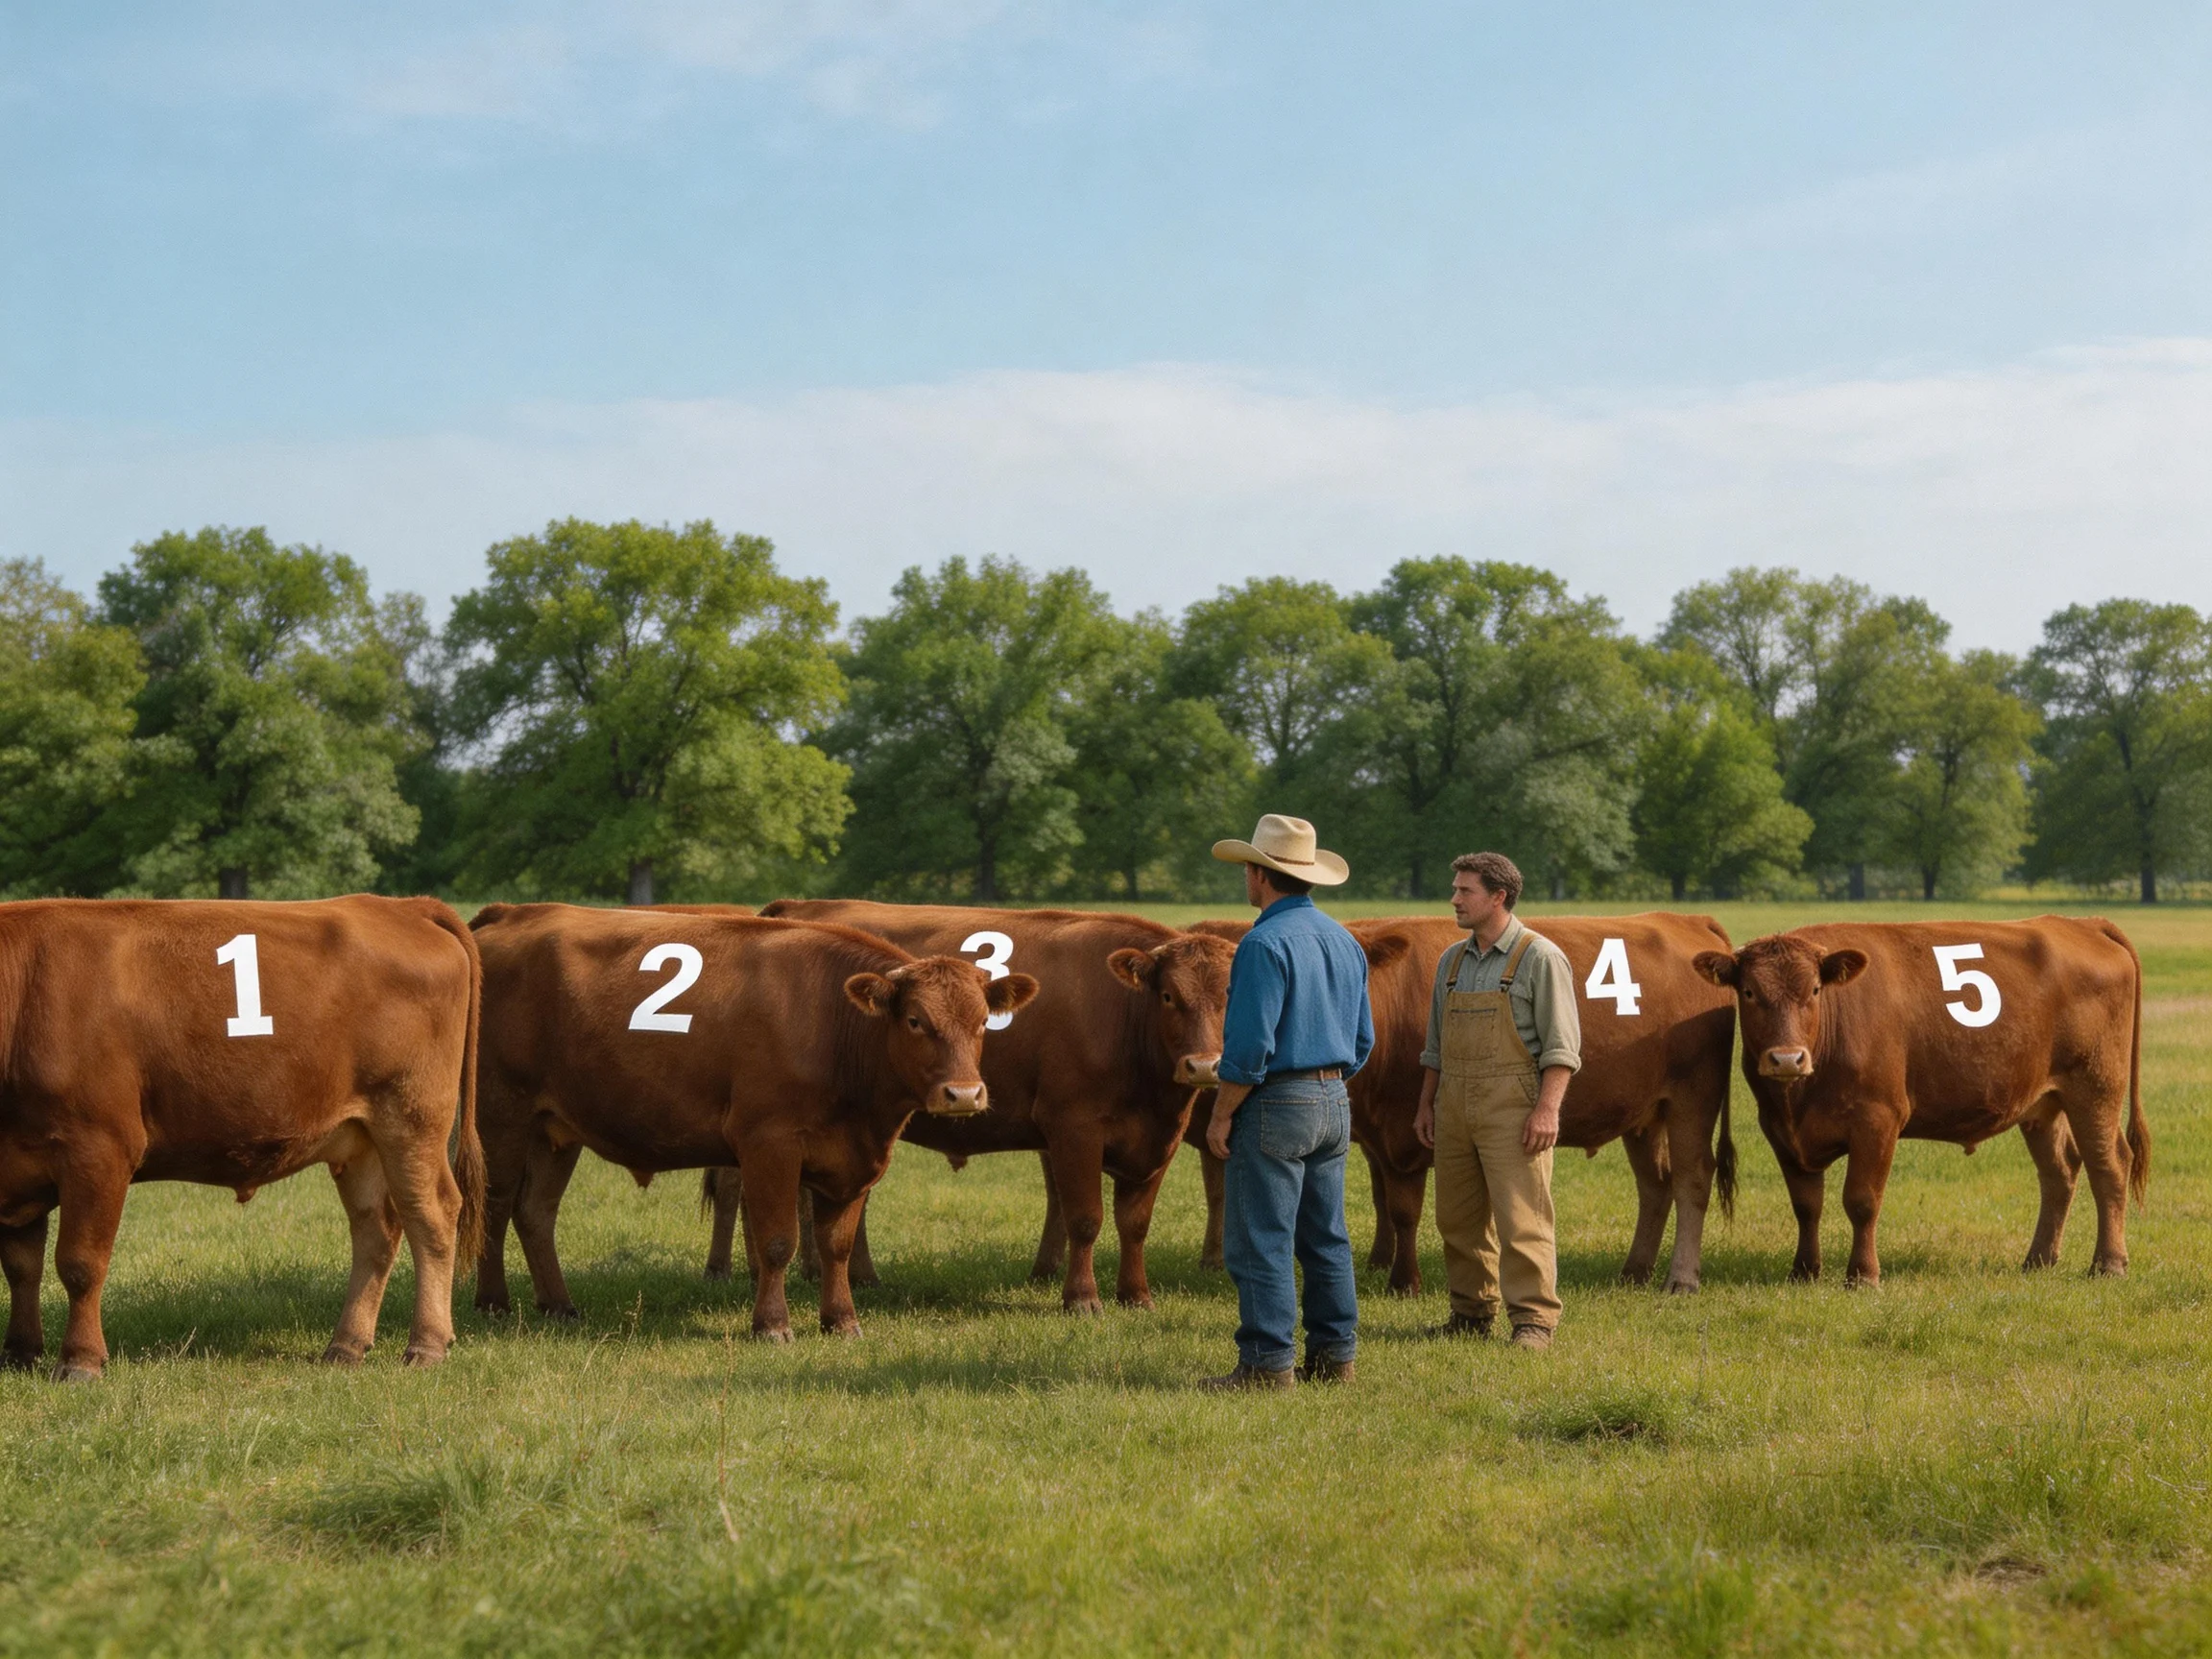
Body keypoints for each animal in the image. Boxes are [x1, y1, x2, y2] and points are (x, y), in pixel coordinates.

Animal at [0, 896, 483, 1381]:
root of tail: (399, 906)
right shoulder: (18, 1168)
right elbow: (21, 1267)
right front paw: (20, 1353)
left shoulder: (100, 1149)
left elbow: (80, 1263)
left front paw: (79, 1360)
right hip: (360, 1138)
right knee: (375, 1229)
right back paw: (345, 1345)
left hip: (412, 1117)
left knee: (433, 1216)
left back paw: (427, 1344)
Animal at [469, 903, 1034, 1339]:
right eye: (915, 1021)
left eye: (982, 1022)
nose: (963, 1094)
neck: (830, 1021)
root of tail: (510, 913)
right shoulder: (769, 1144)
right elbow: (778, 1241)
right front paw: (772, 1325)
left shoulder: (852, 1156)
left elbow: (837, 1244)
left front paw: (841, 1320)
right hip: (501, 1116)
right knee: (494, 1206)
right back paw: (493, 1302)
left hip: (554, 1128)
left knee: (536, 1211)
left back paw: (558, 1305)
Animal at [757, 901, 1235, 1312]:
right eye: (1169, 996)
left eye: (1236, 996)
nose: (1204, 1065)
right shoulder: (1074, 1127)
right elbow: (1085, 1218)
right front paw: (1082, 1298)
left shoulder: (1159, 1137)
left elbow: (1135, 1223)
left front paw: (1136, 1295)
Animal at [1184, 913, 1739, 1296]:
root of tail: (1684, 919)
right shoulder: (1380, 1139)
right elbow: (1387, 1200)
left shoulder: (1404, 1136)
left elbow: (1404, 1209)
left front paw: (1404, 1282)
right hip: (1645, 1113)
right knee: (1655, 1185)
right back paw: (1634, 1270)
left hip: (1693, 1097)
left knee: (1691, 1180)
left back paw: (1681, 1278)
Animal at [1694, 917, 2147, 1285]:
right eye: (1748, 992)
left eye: (1816, 990)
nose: (1787, 1058)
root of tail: (2080, 922)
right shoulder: (1779, 1129)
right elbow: (1806, 1205)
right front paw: (1803, 1272)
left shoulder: (1878, 1120)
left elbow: (1861, 1201)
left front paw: (1863, 1276)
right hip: (2043, 1103)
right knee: (2059, 1170)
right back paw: (2038, 1260)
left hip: (2095, 1088)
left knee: (2109, 1165)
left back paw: (2108, 1264)